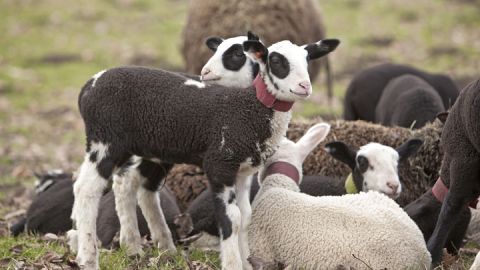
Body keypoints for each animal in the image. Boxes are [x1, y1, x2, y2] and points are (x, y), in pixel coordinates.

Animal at [71, 36, 340, 270]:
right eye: (275, 60)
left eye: (307, 59)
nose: (304, 87)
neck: (251, 108)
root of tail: (88, 85)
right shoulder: (219, 163)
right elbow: (231, 218)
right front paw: (232, 264)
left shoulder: (243, 172)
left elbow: (245, 216)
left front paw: (246, 262)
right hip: (104, 140)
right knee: (87, 188)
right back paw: (88, 257)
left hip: (143, 147)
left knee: (132, 184)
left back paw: (146, 248)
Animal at [249, 123, 434, 268]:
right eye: (362, 162)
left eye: (398, 163)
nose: (393, 185)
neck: (279, 183)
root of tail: (421, 255)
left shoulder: (259, 250)